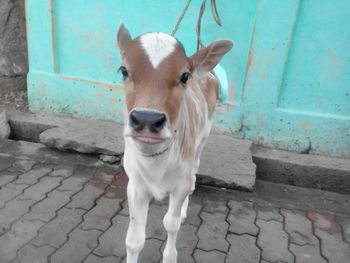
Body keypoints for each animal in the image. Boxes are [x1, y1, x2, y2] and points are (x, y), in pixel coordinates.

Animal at [116, 23, 234, 262]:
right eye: (124, 70)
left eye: (184, 76)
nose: (147, 119)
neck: (155, 162)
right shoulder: (135, 186)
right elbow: (134, 240)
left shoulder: (180, 185)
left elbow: (170, 224)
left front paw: (170, 256)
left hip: (202, 139)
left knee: (194, 175)